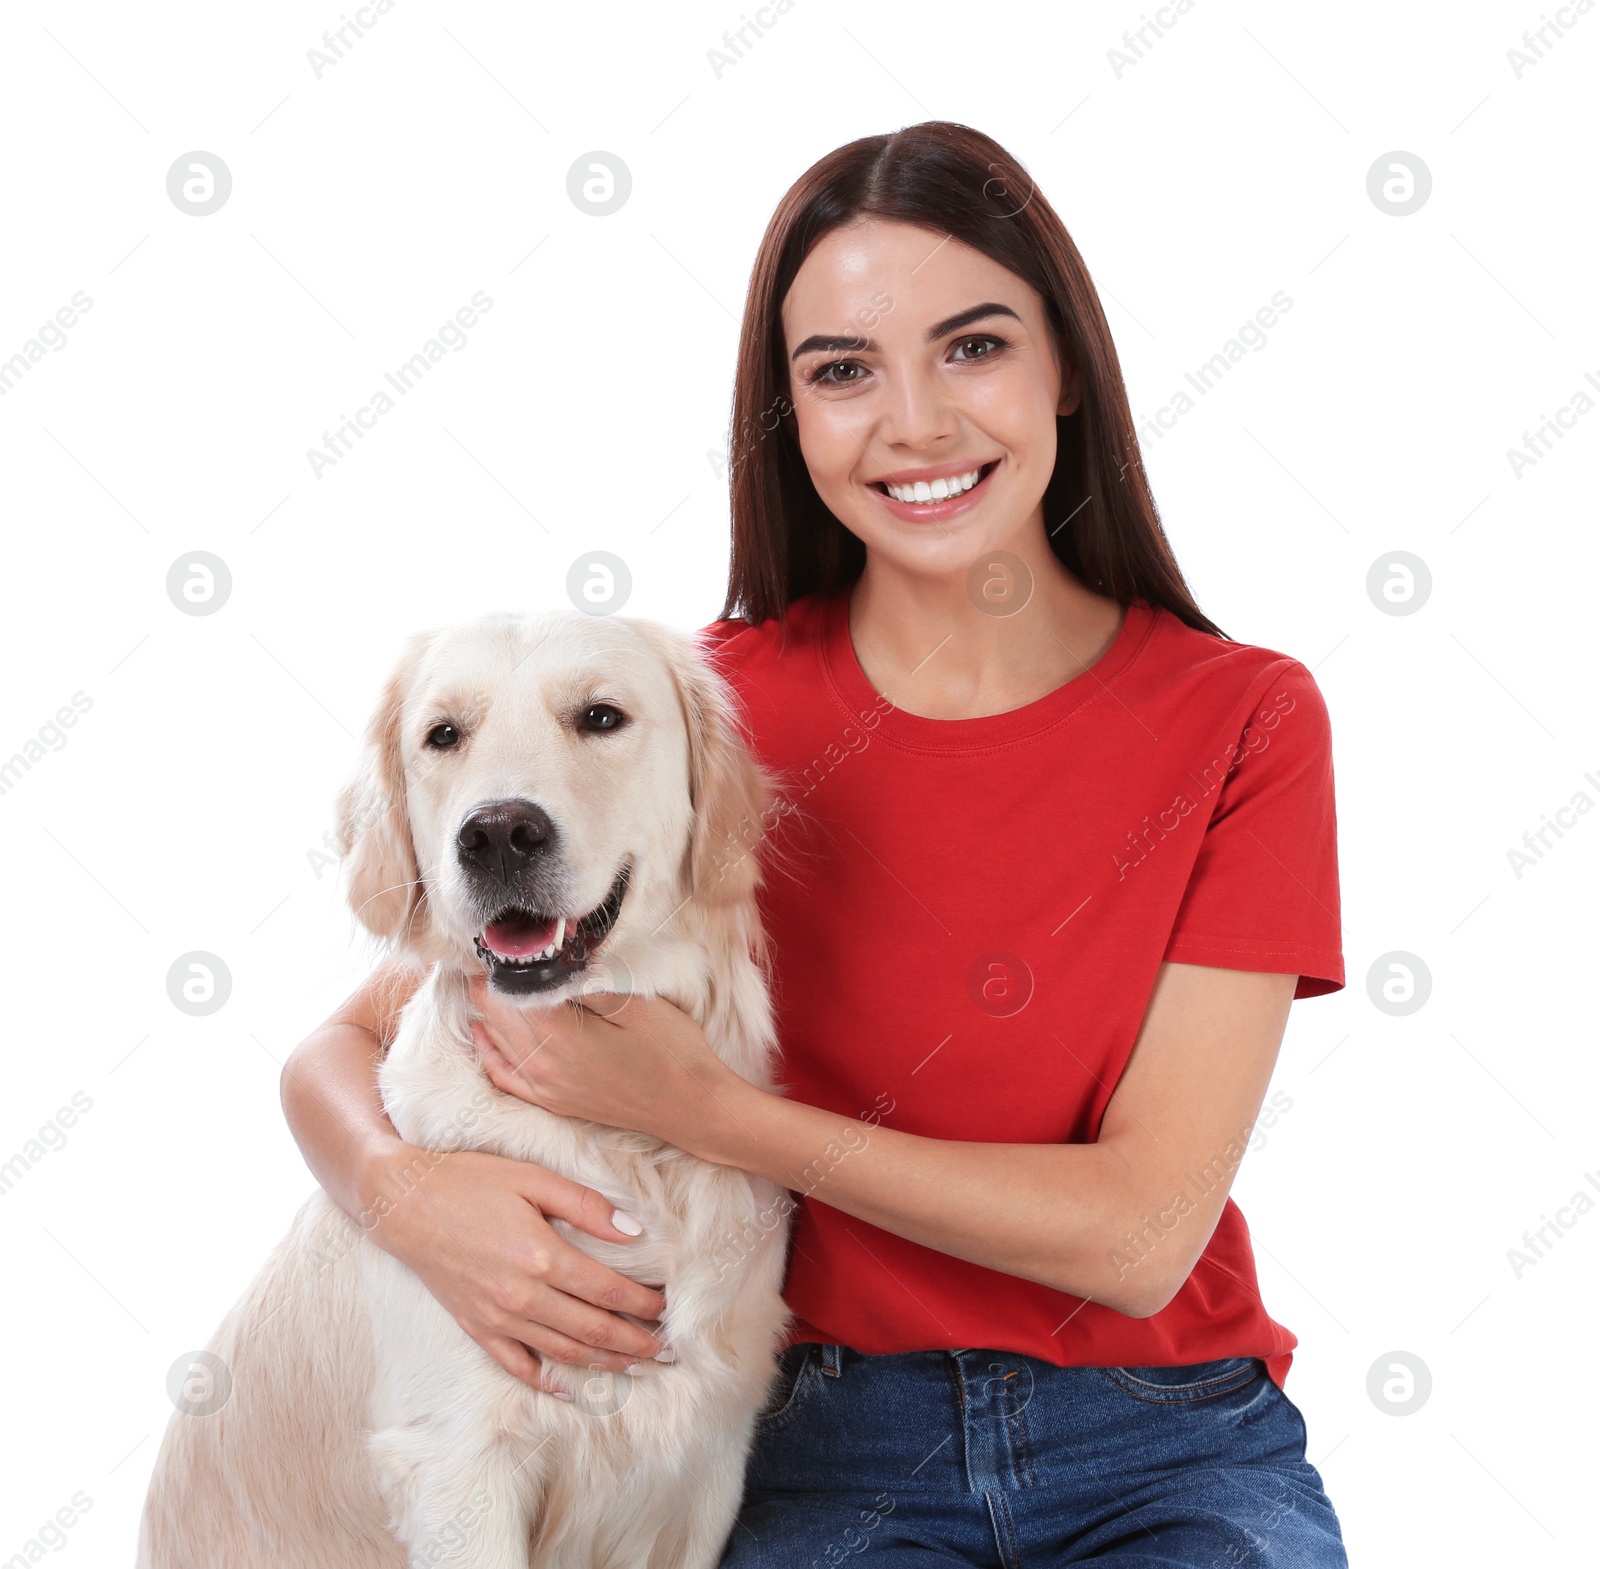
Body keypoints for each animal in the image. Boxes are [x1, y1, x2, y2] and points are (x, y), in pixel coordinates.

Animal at [137, 607, 793, 1567]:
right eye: (443, 735)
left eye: (601, 716)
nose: (497, 833)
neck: (614, 1140)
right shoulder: (456, 1463)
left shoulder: (707, 1462)